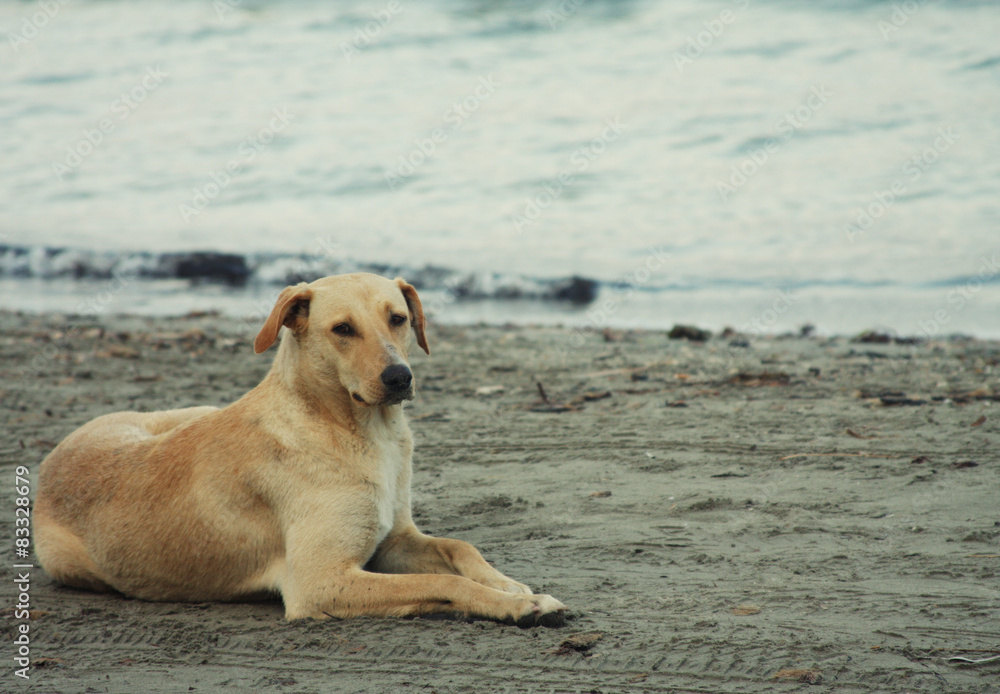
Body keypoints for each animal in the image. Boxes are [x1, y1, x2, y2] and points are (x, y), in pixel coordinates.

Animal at [35, 274, 568, 628]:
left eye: (398, 319)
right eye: (343, 329)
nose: (400, 377)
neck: (359, 432)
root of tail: (51, 461)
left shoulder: (394, 539)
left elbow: (459, 547)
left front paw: (506, 583)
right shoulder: (321, 582)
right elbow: (442, 584)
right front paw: (518, 605)